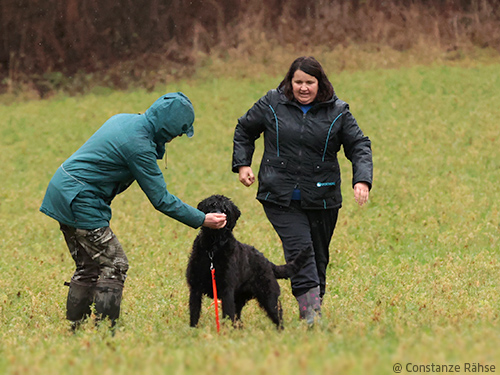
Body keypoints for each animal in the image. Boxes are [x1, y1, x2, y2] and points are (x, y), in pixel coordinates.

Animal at [186, 195, 308, 330]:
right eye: (211, 205)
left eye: (225, 210)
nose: (218, 216)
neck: (213, 248)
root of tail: (267, 262)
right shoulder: (195, 288)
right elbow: (194, 313)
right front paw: (193, 330)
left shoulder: (226, 290)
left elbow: (227, 315)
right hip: (241, 299)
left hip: (269, 297)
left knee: (278, 316)